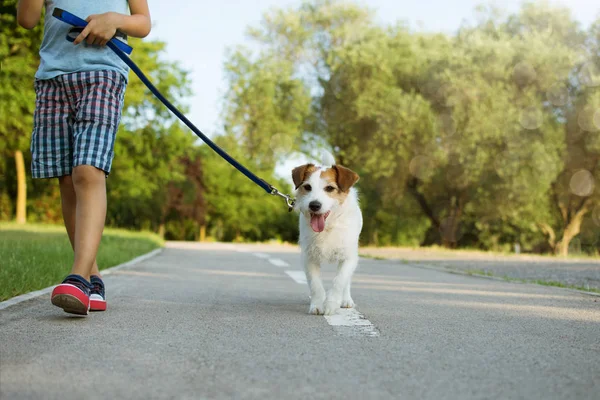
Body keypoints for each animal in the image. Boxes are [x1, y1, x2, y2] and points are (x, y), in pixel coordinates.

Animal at [290, 152, 360, 316]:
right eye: (307, 187)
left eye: (329, 188)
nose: (314, 205)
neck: (328, 227)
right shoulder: (309, 257)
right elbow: (315, 284)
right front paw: (317, 304)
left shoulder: (348, 257)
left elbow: (340, 281)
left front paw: (331, 304)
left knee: (347, 281)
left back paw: (346, 299)